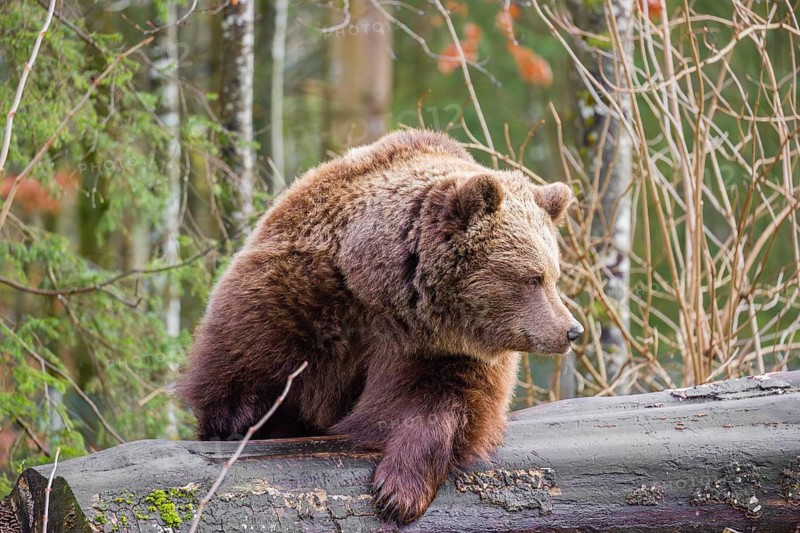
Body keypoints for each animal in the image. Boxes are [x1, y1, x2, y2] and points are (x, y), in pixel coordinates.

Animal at [177, 129, 583, 523]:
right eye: (532, 277)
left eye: (554, 275)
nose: (571, 330)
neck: (383, 293)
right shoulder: (300, 294)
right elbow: (246, 358)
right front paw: (233, 426)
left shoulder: (440, 350)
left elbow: (445, 405)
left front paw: (398, 492)